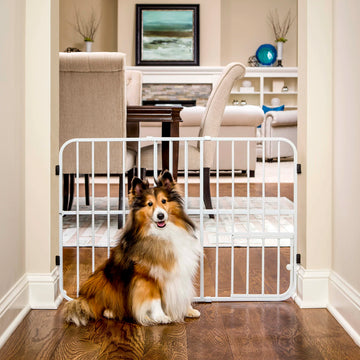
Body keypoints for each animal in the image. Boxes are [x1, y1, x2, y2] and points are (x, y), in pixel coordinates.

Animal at [64, 170, 200, 324]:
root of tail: (84, 298)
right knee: (99, 306)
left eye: (164, 201)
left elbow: (182, 293)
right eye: (149, 204)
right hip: (103, 278)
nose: (160, 216)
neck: (163, 234)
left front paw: (189, 310)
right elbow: (155, 299)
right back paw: (111, 312)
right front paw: (161, 317)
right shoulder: (146, 278)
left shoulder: (180, 273)